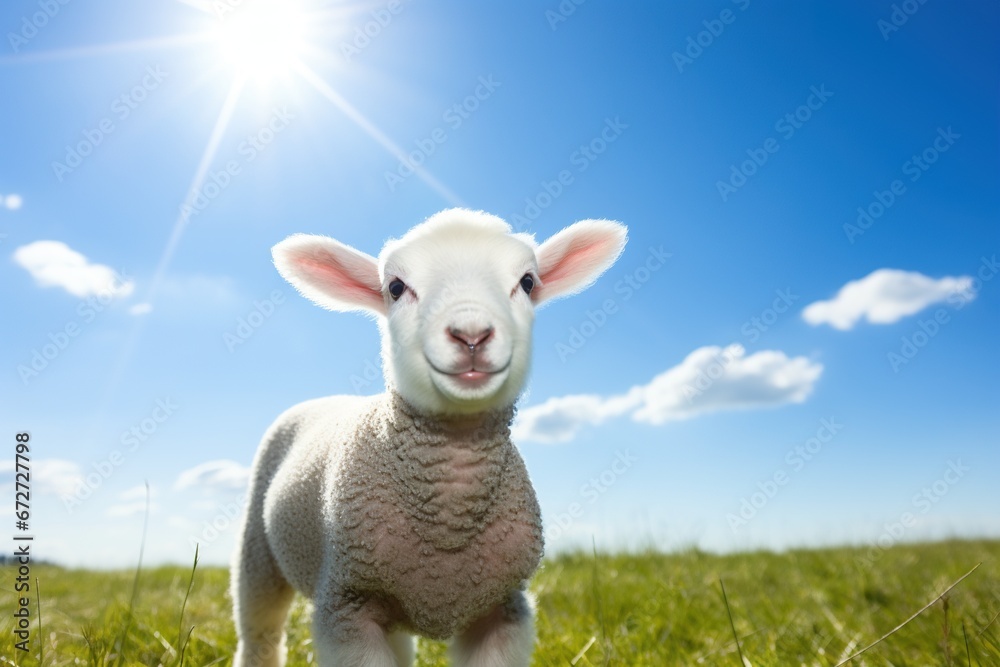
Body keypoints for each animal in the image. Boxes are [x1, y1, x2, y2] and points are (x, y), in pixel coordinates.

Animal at [232, 208, 627, 667]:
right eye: (396, 287)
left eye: (528, 282)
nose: (471, 334)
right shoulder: (345, 608)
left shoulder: (505, 609)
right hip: (258, 552)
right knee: (259, 631)